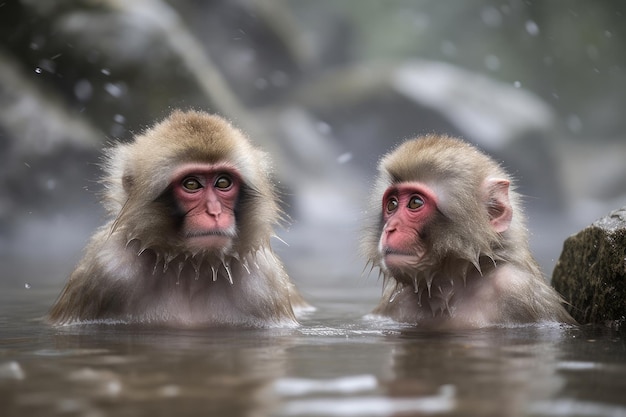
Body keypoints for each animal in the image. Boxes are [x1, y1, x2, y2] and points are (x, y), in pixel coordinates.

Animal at [48, 109, 310, 326]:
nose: (214, 212)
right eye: (191, 184)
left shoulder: (265, 284)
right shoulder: (105, 269)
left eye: (223, 182)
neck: (190, 267)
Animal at [360, 135, 576, 326]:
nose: (390, 228)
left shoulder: (518, 288)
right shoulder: (394, 302)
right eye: (392, 204)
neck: (450, 285)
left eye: (415, 203)